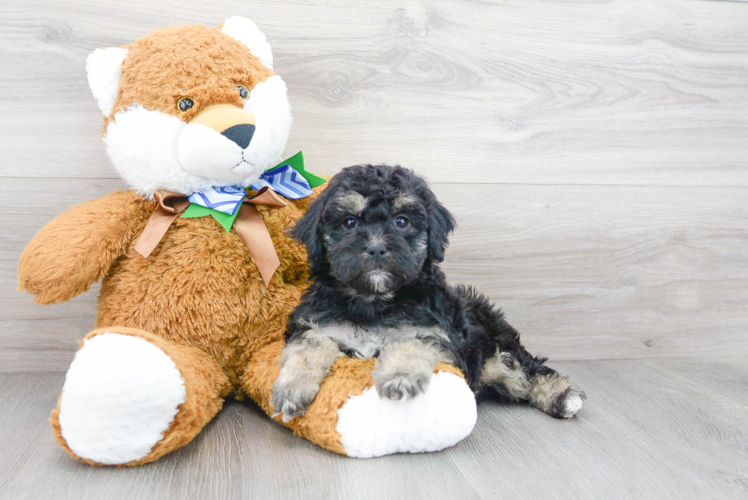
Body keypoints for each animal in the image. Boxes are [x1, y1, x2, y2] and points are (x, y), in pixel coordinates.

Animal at [272, 164, 588, 422]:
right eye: (349, 222)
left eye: (401, 221)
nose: (376, 248)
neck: (376, 301)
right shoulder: (316, 323)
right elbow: (309, 345)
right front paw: (291, 387)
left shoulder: (437, 334)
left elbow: (413, 342)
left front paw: (400, 377)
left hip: (496, 345)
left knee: (524, 369)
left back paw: (562, 396)